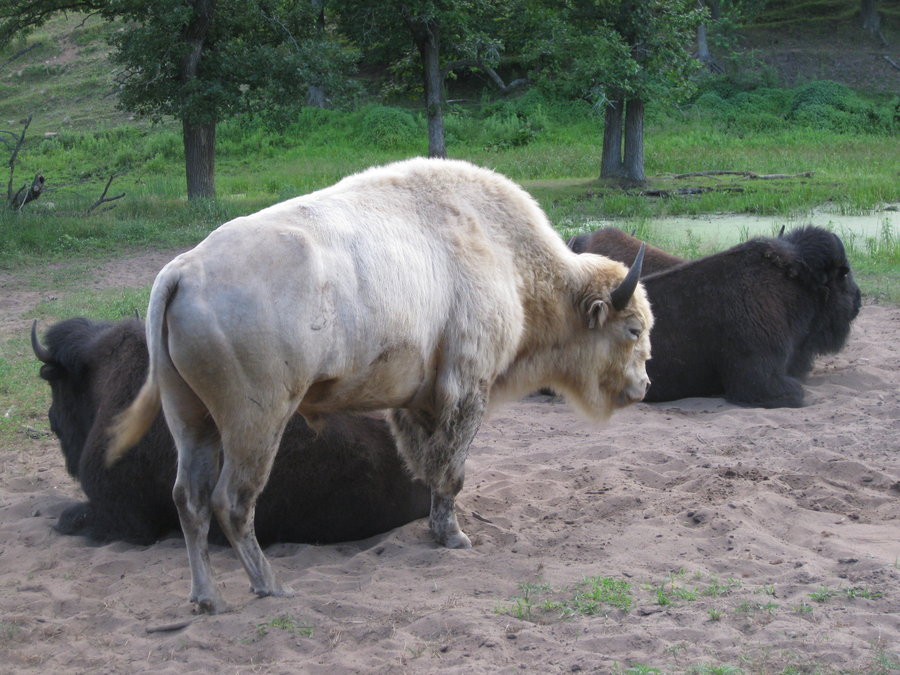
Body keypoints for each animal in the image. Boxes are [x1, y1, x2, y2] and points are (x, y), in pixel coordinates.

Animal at [105, 157, 652, 612]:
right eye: (632, 329)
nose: (643, 385)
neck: (505, 254)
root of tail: (182, 271)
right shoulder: (466, 387)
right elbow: (452, 470)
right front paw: (455, 537)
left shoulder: (419, 402)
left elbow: (429, 466)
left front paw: (437, 530)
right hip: (256, 421)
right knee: (232, 502)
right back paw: (271, 587)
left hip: (190, 419)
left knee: (189, 500)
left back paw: (207, 599)